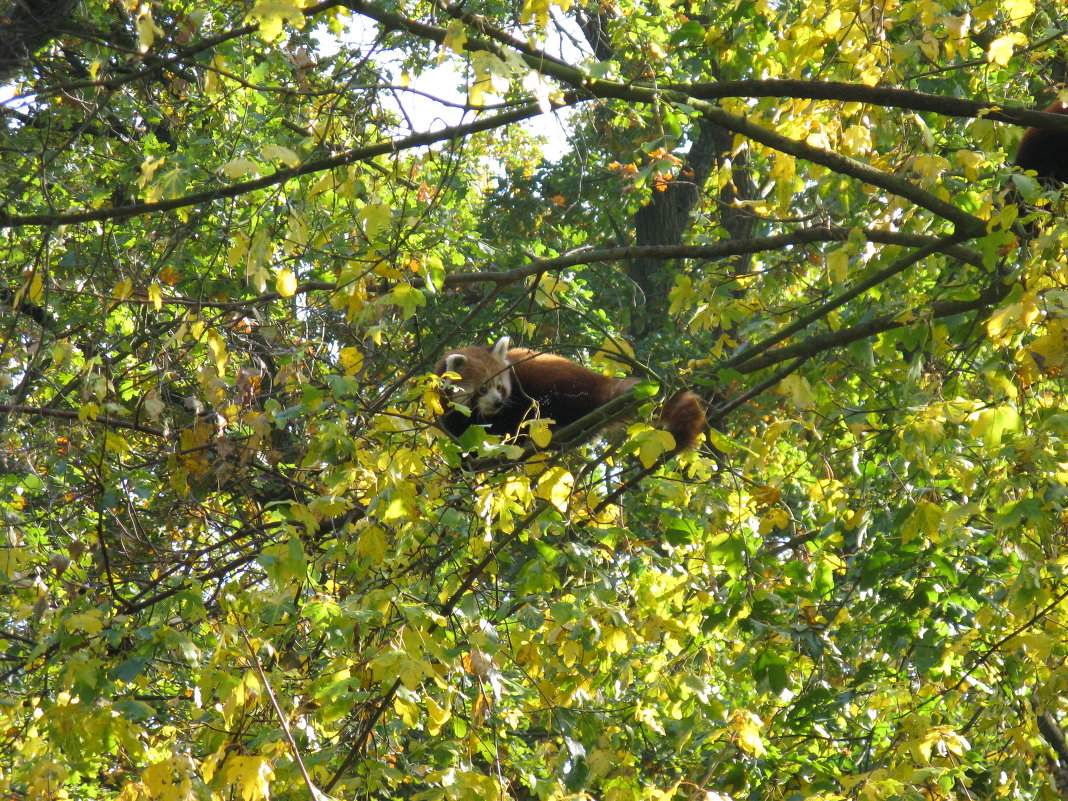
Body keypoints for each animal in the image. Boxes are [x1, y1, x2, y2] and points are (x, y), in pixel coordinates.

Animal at [429, 337, 704, 454]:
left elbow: (513, 420)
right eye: (483, 389)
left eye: (500, 387)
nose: (497, 403)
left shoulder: (517, 395)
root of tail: (599, 381)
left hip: (561, 386)